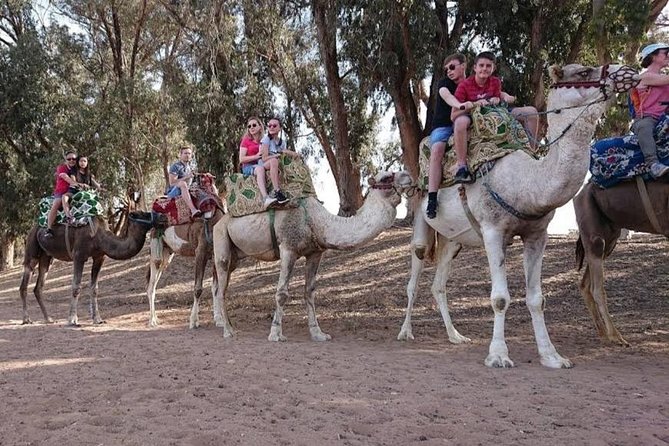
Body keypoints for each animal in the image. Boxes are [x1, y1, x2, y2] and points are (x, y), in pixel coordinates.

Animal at [19, 210, 157, 326]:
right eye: (143, 214)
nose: (159, 216)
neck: (99, 236)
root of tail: (34, 228)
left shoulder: (99, 257)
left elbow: (94, 289)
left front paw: (98, 319)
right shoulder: (79, 256)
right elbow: (76, 287)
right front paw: (72, 320)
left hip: (47, 257)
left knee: (38, 286)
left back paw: (48, 319)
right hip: (32, 248)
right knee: (25, 281)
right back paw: (26, 319)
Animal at [211, 170, 414, 341]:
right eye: (385, 178)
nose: (409, 175)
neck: (318, 223)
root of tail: (220, 221)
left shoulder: (315, 253)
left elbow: (309, 291)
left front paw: (318, 333)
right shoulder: (288, 249)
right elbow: (282, 293)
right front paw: (275, 334)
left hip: (236, 256)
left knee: (221, 286)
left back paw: (229, 326)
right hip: (221, 242)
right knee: (221, 287)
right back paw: (228, 331)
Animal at [397, 63, 639, 368]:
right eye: (584, 72)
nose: (628, 71)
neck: (526, 182)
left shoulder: (537, 234)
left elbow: (537, 299)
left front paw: (552, 356)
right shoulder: (492, 230)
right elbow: (500, 298)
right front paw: (499, 355)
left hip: (454, 239)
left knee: (439, 284)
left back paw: (455, 336)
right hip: (420, 217)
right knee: (414, 275)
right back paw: (405, 332)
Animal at [574, 179, 669, 346]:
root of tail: (582, 191)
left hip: (610, 238)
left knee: (585, 284)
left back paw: (603, 334)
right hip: (595, 236)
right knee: (597, 288)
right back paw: (616, 336)